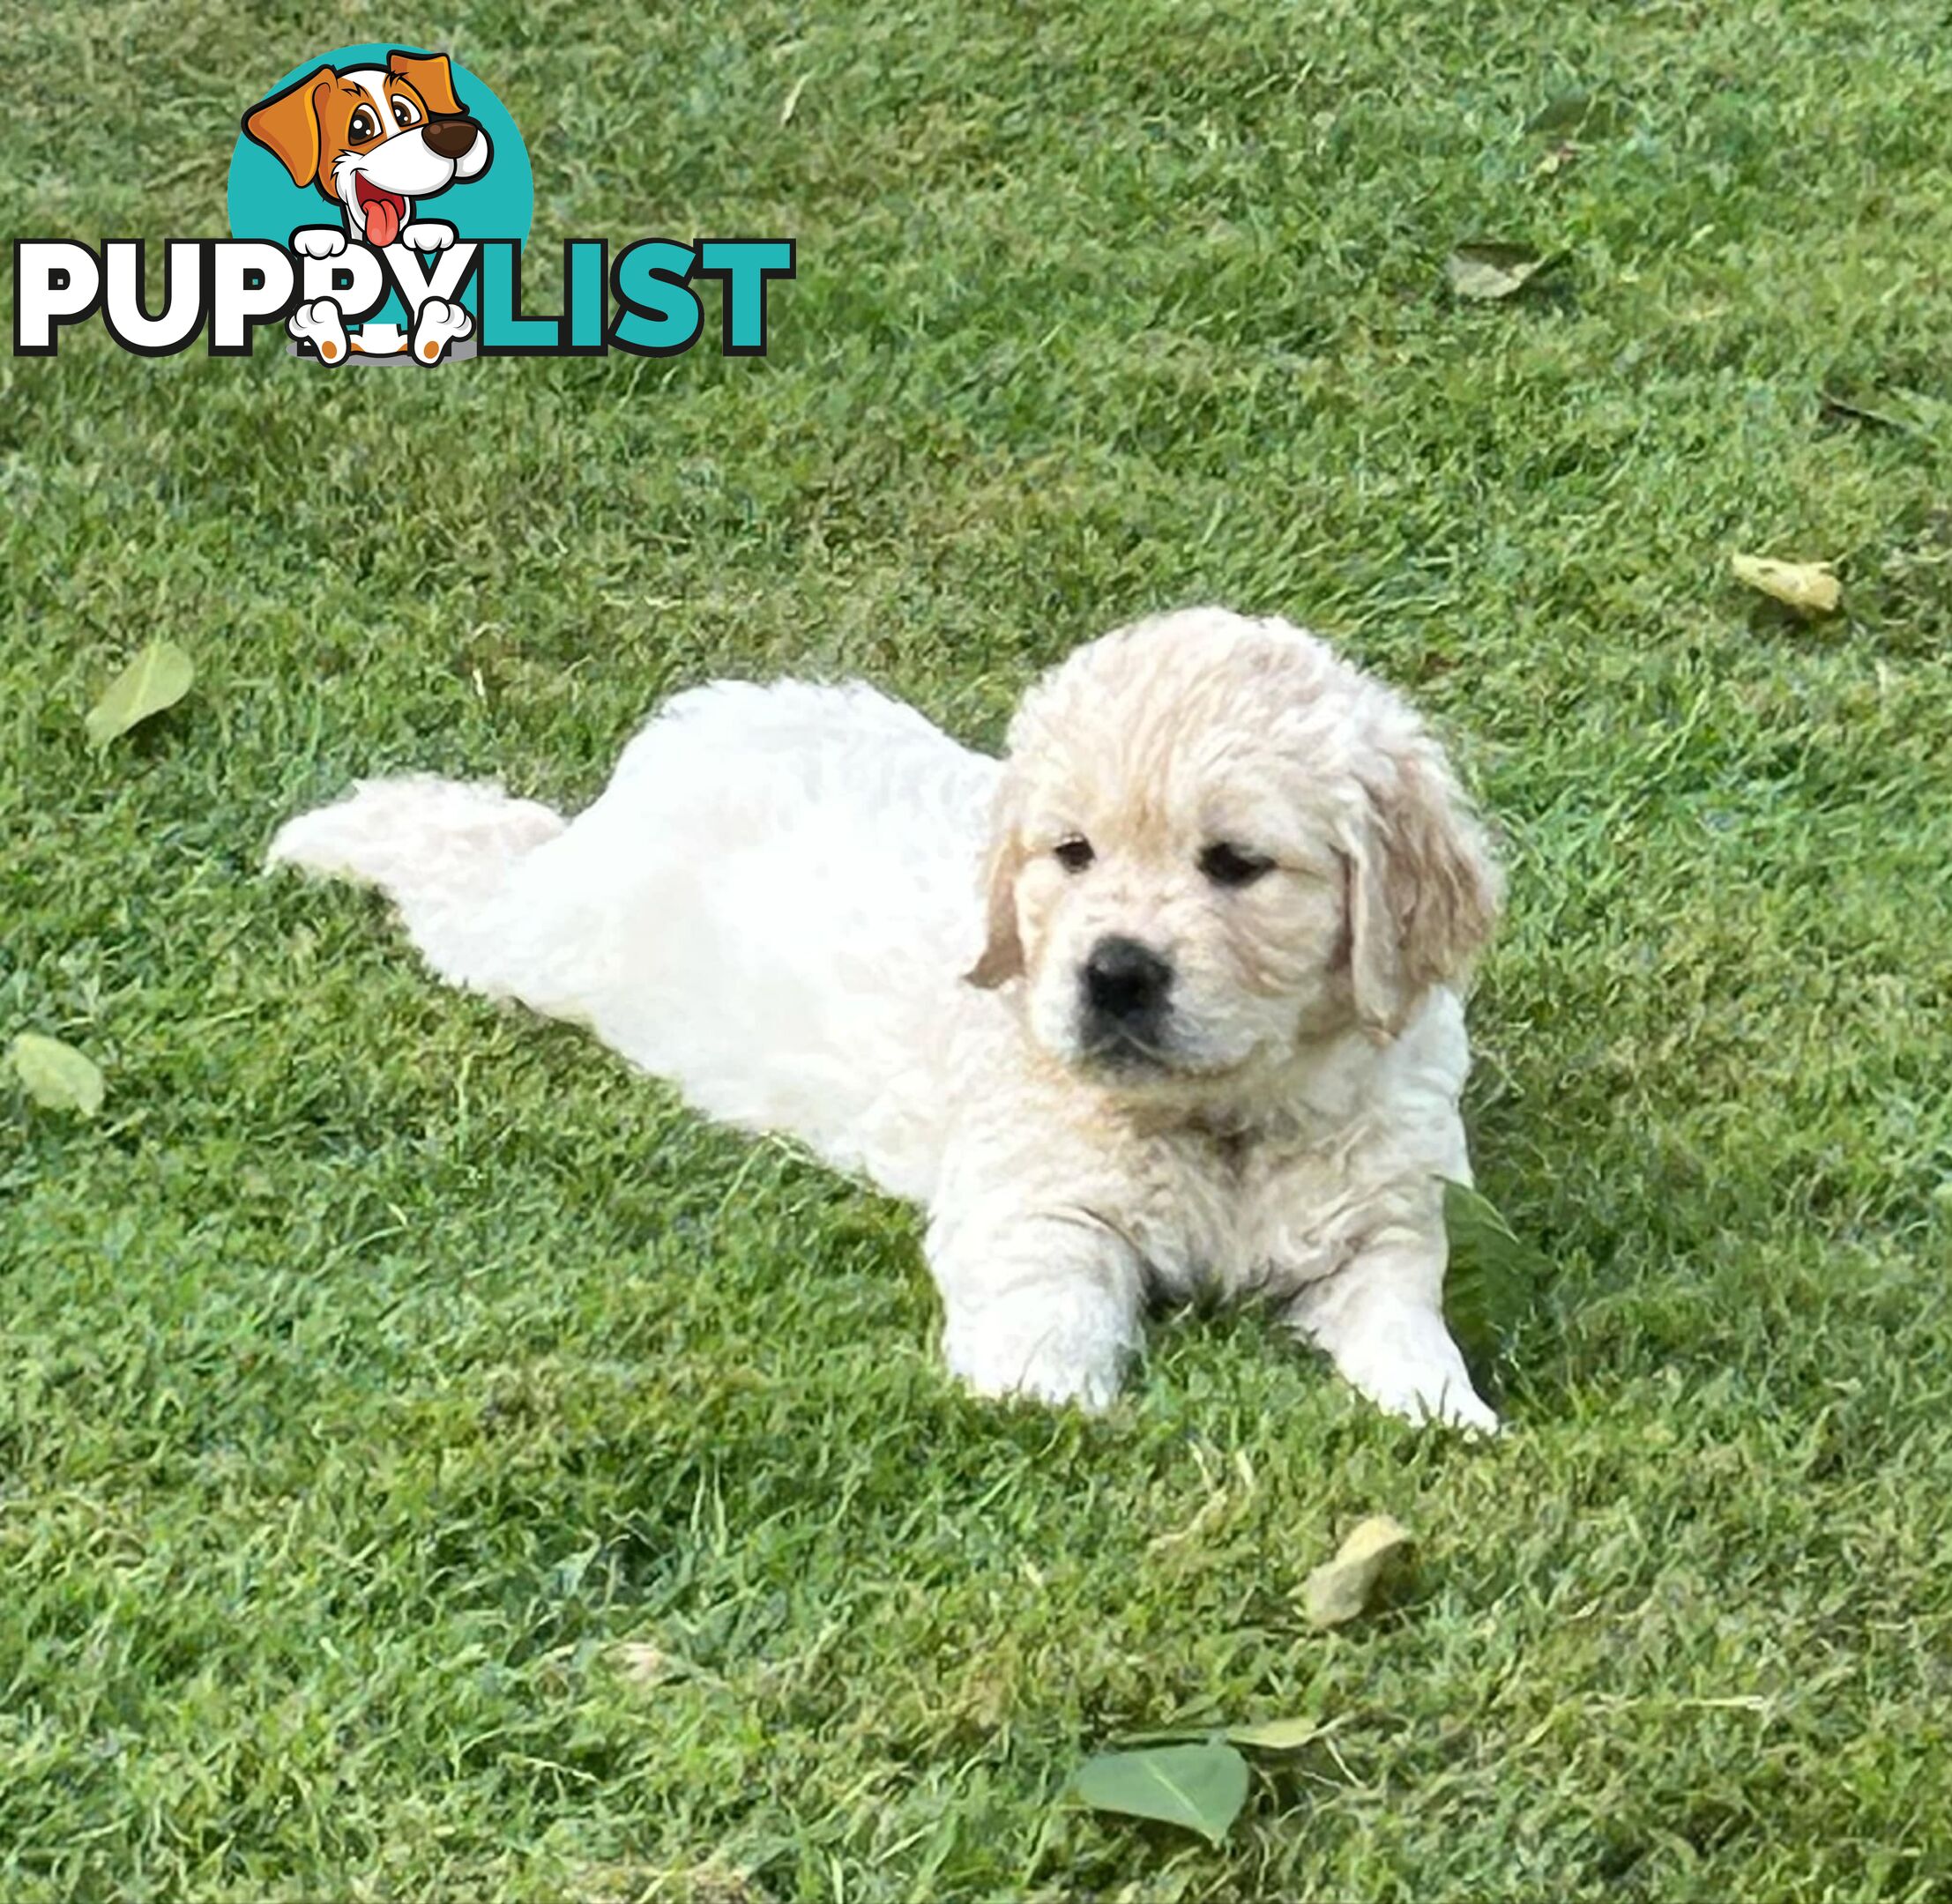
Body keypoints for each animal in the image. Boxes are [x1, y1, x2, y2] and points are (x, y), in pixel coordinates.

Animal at [267, 608, 1499, 1428]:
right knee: (467, 855)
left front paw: (1443, 1409)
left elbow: (1404, 1310)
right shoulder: (1029, 1201)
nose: (1114, 974)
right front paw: (1043, 1401)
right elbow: (1049, 1301)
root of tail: (692, 724)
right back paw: (346, 828)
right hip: (540, 943)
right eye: (1073, 853)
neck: (1227, 1114)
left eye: (1238, 864)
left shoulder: (1387, 1214)